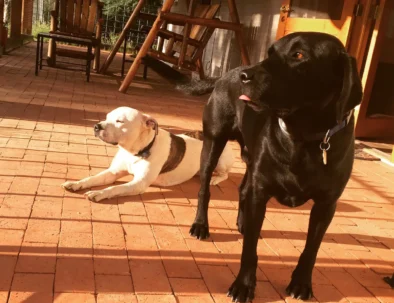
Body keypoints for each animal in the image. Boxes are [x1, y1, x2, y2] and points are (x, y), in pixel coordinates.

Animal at [61, 107, 234, 202]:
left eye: (119, 121)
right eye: (107, 117)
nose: (96, 126)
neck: (135, 151)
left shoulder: (139, 183)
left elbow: (114, 188)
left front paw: (99, 193)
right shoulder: (113, 172)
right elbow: (92, 178)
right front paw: (76, 183)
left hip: (220, 161)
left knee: (225, 174)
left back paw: (215, 179)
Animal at [186, 32, 362, 302]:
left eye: (299, 55)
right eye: (270, 52)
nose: (244, 76)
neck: (303, 139)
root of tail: (225, 73)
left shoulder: (326, 205)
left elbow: (312, 249)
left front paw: (301, 283)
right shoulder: (261, 191)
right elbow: (249, 250)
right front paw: (243, 285)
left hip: (249, 157)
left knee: (243, 189)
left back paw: (243, 223)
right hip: (213, 143)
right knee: (205, 189)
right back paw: (200, 225)